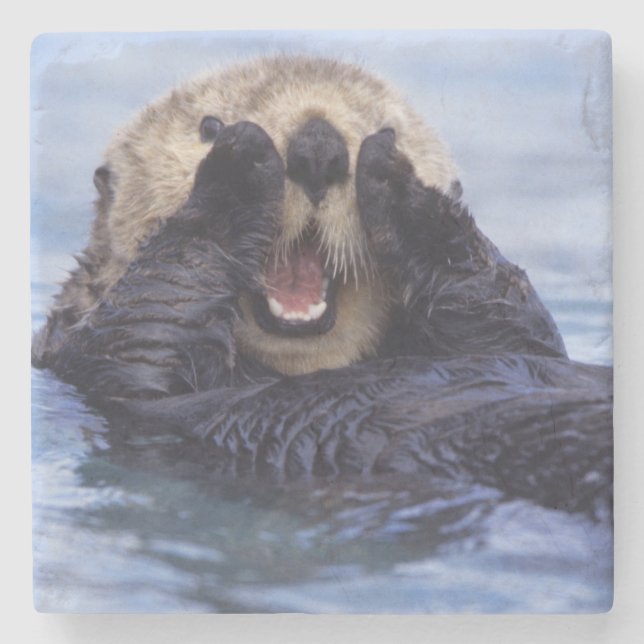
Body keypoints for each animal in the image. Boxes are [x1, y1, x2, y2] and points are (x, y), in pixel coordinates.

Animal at [32, 57, 611, 518]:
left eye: (387, 126)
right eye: (208, 125)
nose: (317, 146)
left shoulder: (511, 334)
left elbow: (512, 321)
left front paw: (403, 187)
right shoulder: (97, 359)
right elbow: (148, 322)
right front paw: (238, 166)